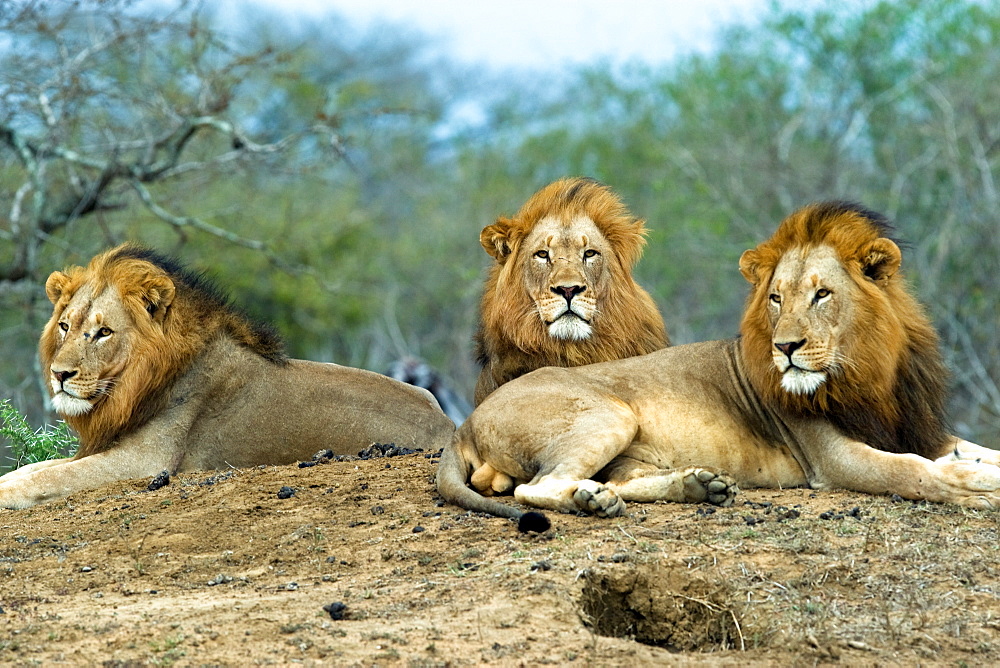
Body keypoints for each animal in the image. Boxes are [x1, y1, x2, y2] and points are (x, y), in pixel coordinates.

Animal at [0, 243, 454, 508]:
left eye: (103, 332)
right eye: (65, 326)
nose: (59, 374)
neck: (134, 387)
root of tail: (448, 424)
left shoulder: (147, 462)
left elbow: (53, 475)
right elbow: (33, 470)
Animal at [442, 201, 1000, 528]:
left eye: (821, 294)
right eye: (775, 299)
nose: (786, 347)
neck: (867, 371)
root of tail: (466, 422)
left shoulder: (920, 431)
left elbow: (972, 451)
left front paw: (981, 469)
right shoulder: (830, 458)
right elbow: (910, 471)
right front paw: (976, 487)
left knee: (613, 482)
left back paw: (692, 487)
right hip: (609, 414)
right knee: (536, 487)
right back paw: (592, 501)